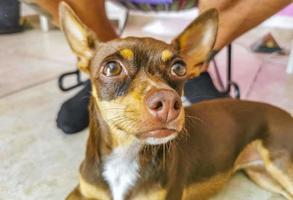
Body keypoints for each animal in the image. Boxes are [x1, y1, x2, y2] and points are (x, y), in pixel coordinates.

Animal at [59, 1, 292, 200]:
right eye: (111, 68)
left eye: (179, 68)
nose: (168, 103)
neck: (125, 155)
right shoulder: (81, 192)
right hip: (262, 175)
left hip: (279, 165)